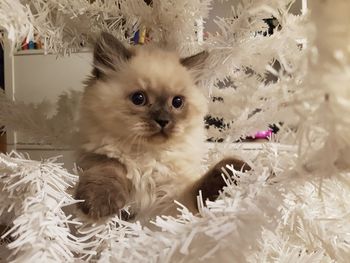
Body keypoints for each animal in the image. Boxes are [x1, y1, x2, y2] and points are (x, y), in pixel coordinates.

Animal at [75, 33, 250, 223]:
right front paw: (99, 203)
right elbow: (110, 167)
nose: (163, 121)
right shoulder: (97, 155)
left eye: (177, 102)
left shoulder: (173, 201)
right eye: (138, 98)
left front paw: (235, 169)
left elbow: (199, 193)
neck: (147, 158)